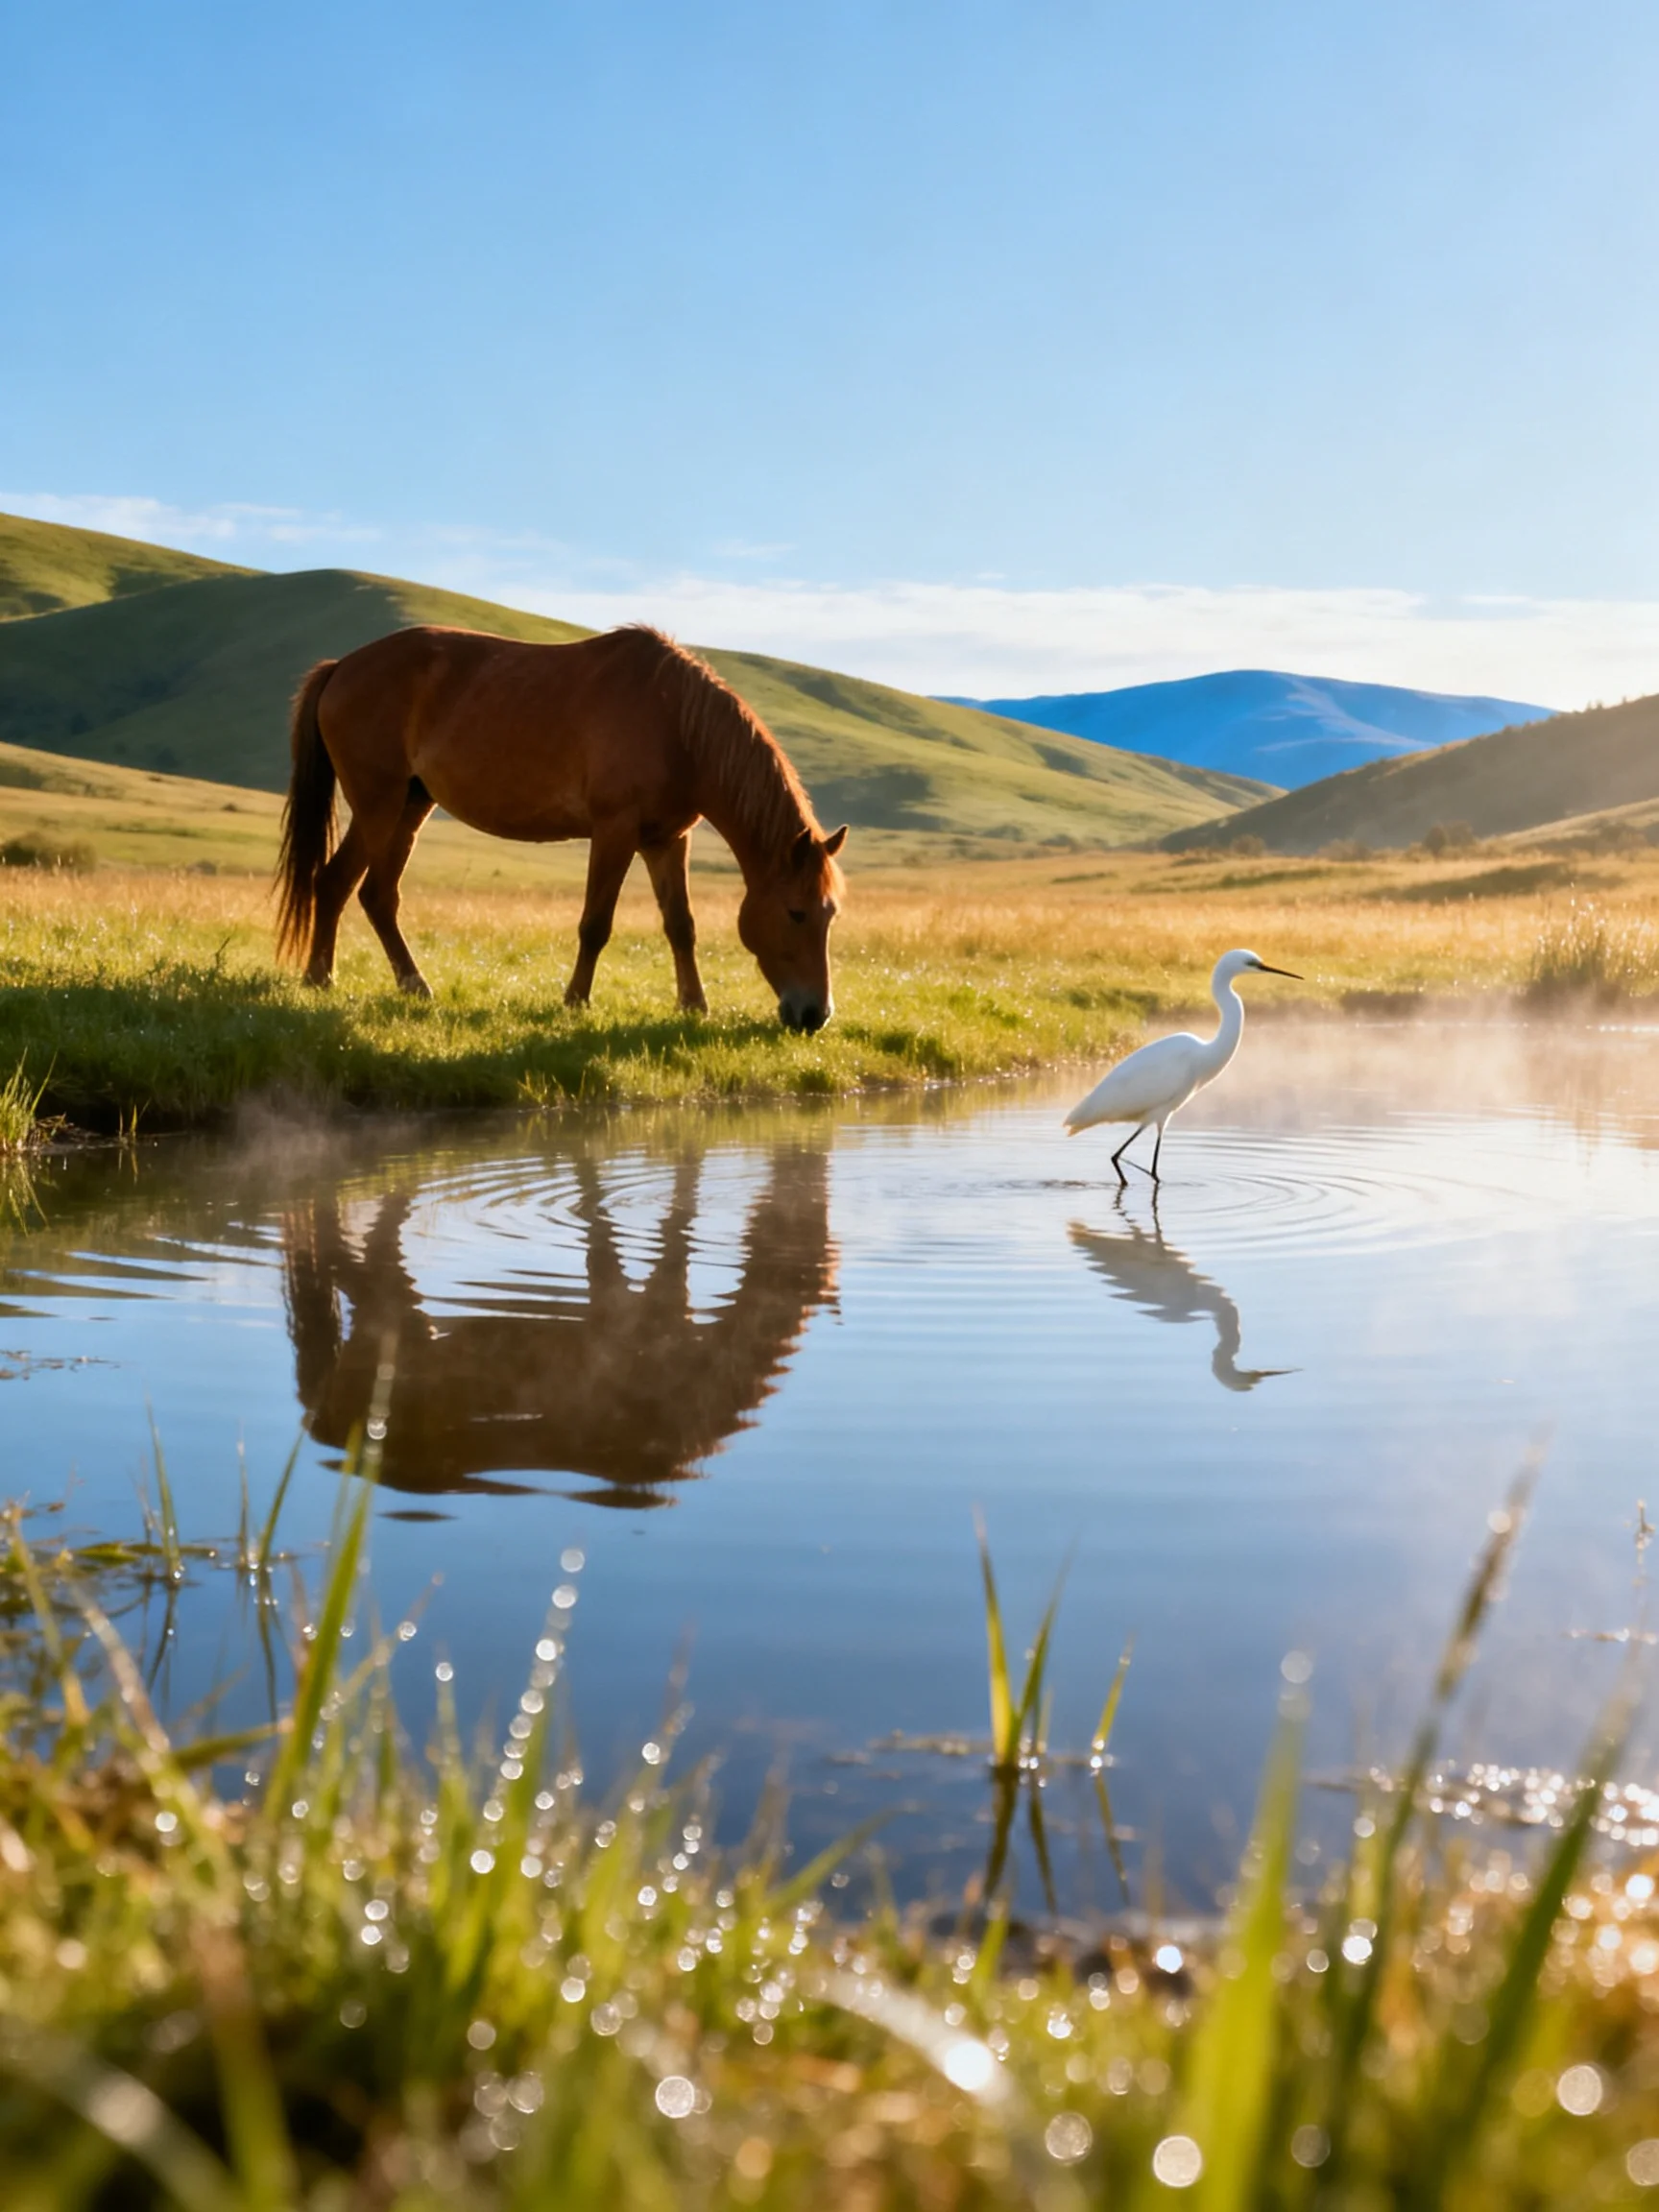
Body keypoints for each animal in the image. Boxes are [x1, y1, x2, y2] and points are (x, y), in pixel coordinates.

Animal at [275, 622, 847, 1029]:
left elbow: (681, 926)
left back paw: (370, 982)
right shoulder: (614, 831)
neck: (677, 727)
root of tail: (342, 666)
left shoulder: (667, 841)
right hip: (379, 803)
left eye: (831, 915)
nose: (815, 1016)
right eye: (796, 913)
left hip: (410, 806)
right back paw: (357, 982)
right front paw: (575, 1002)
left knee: (359, 890)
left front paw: (693, 1006)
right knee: (352, 887)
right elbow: (595, 924)